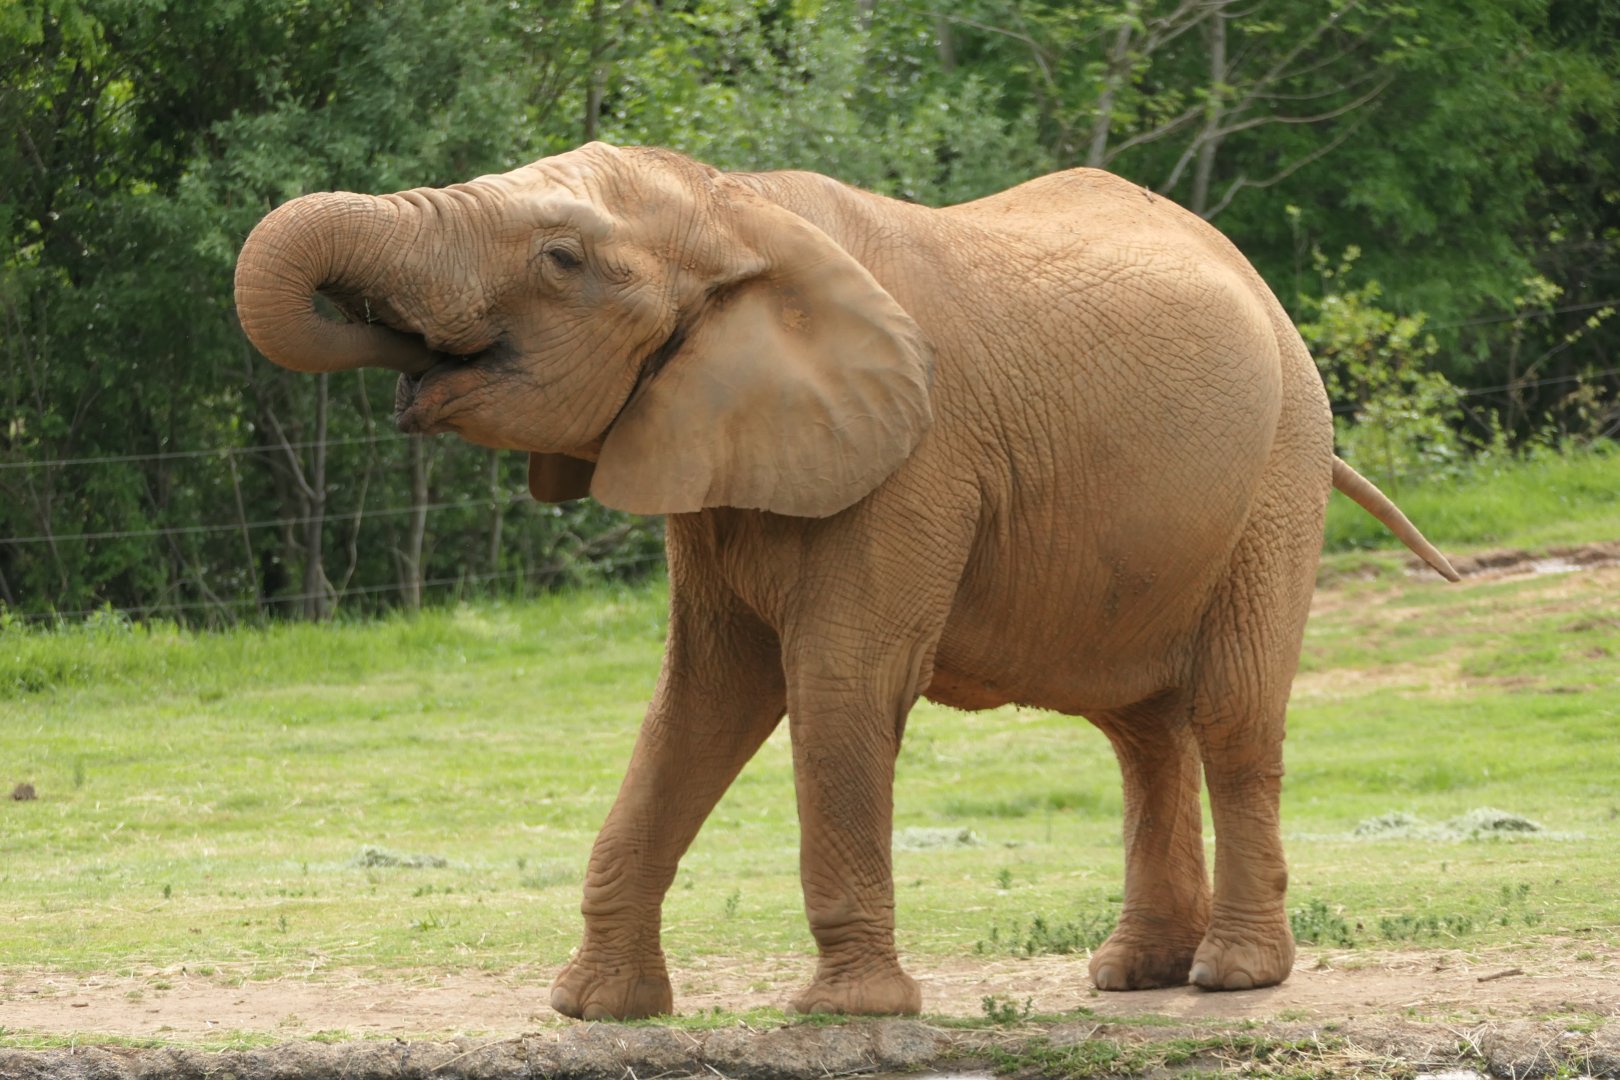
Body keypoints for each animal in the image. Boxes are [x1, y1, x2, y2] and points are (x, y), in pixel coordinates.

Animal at [234, 142, 1458, 1020]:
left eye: (561, 261)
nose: (400, 362)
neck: (735, 208)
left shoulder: (915, 461)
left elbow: (837, 682)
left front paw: (846, 1013)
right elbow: (699, 700)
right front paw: (595, 1010)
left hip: (1279, 469)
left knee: (1232, 712)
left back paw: (1231, 979)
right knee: (1140, 728)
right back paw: (1134, 976)